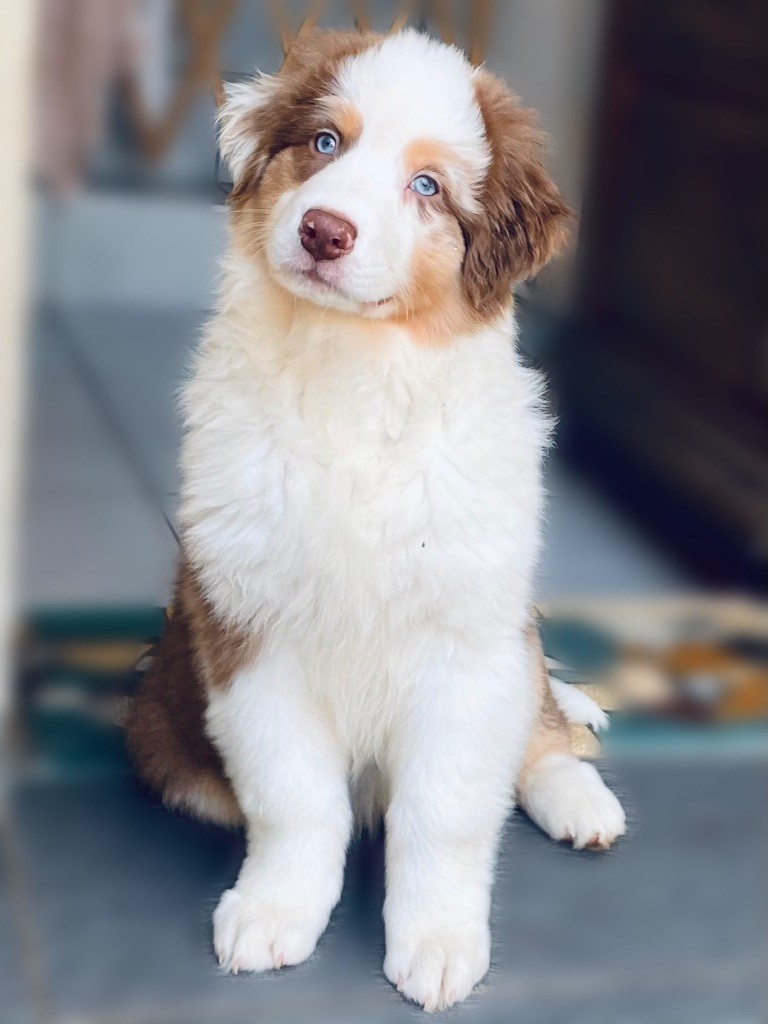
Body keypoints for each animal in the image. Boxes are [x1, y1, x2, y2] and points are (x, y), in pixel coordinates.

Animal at [125, 28, 626, 1012]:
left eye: (427, 185)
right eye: (325, 143)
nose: (324, 230)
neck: (351, 374)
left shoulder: (469, 640)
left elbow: (446, 811)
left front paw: (437, 942)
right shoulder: (247, 630)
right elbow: (294, 798)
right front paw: (276, 911)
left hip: (511, 630)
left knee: (541, 729)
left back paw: (581, 800)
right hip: (164, 728)